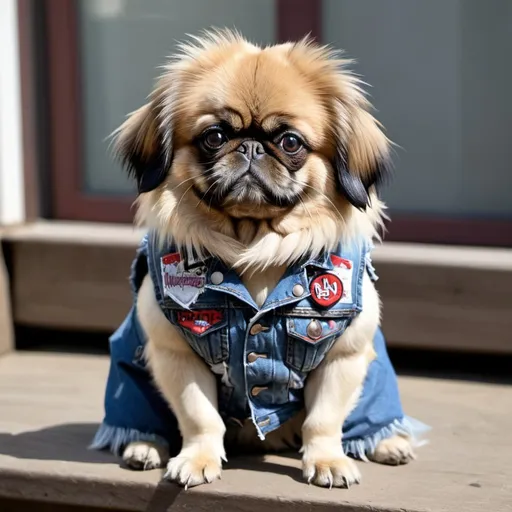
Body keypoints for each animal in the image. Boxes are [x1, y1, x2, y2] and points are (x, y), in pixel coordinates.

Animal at [90, 29, 426, 488]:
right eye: (214, 137)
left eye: (289, 142)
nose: (250, 147)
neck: (255, 248)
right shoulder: (174, 352)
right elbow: (199, 417)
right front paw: (197, 459)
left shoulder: (344, 356)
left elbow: (323, 420)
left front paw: (327, 461)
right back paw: (142, 445)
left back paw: (387, 441)